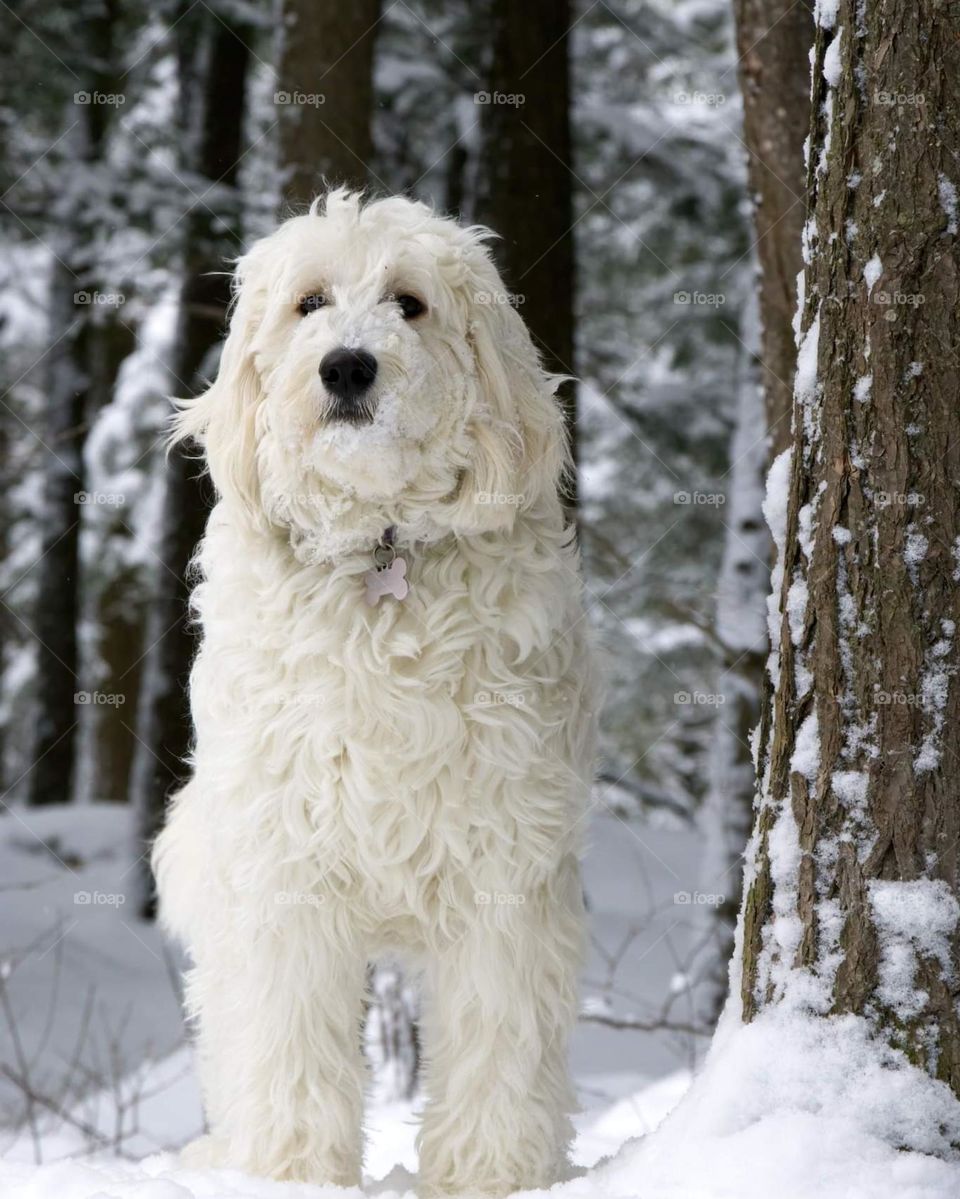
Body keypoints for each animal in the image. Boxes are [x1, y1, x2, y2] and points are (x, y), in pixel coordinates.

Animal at [152, 191, 594, 1194]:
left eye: (409, 304)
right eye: (310, 302)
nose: (348, 365)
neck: (380, 552)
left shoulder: (502, 869)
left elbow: (499, 1039)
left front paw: (493, 1173)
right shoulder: (285, 874)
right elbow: (286, 1043)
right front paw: (290, 1170)